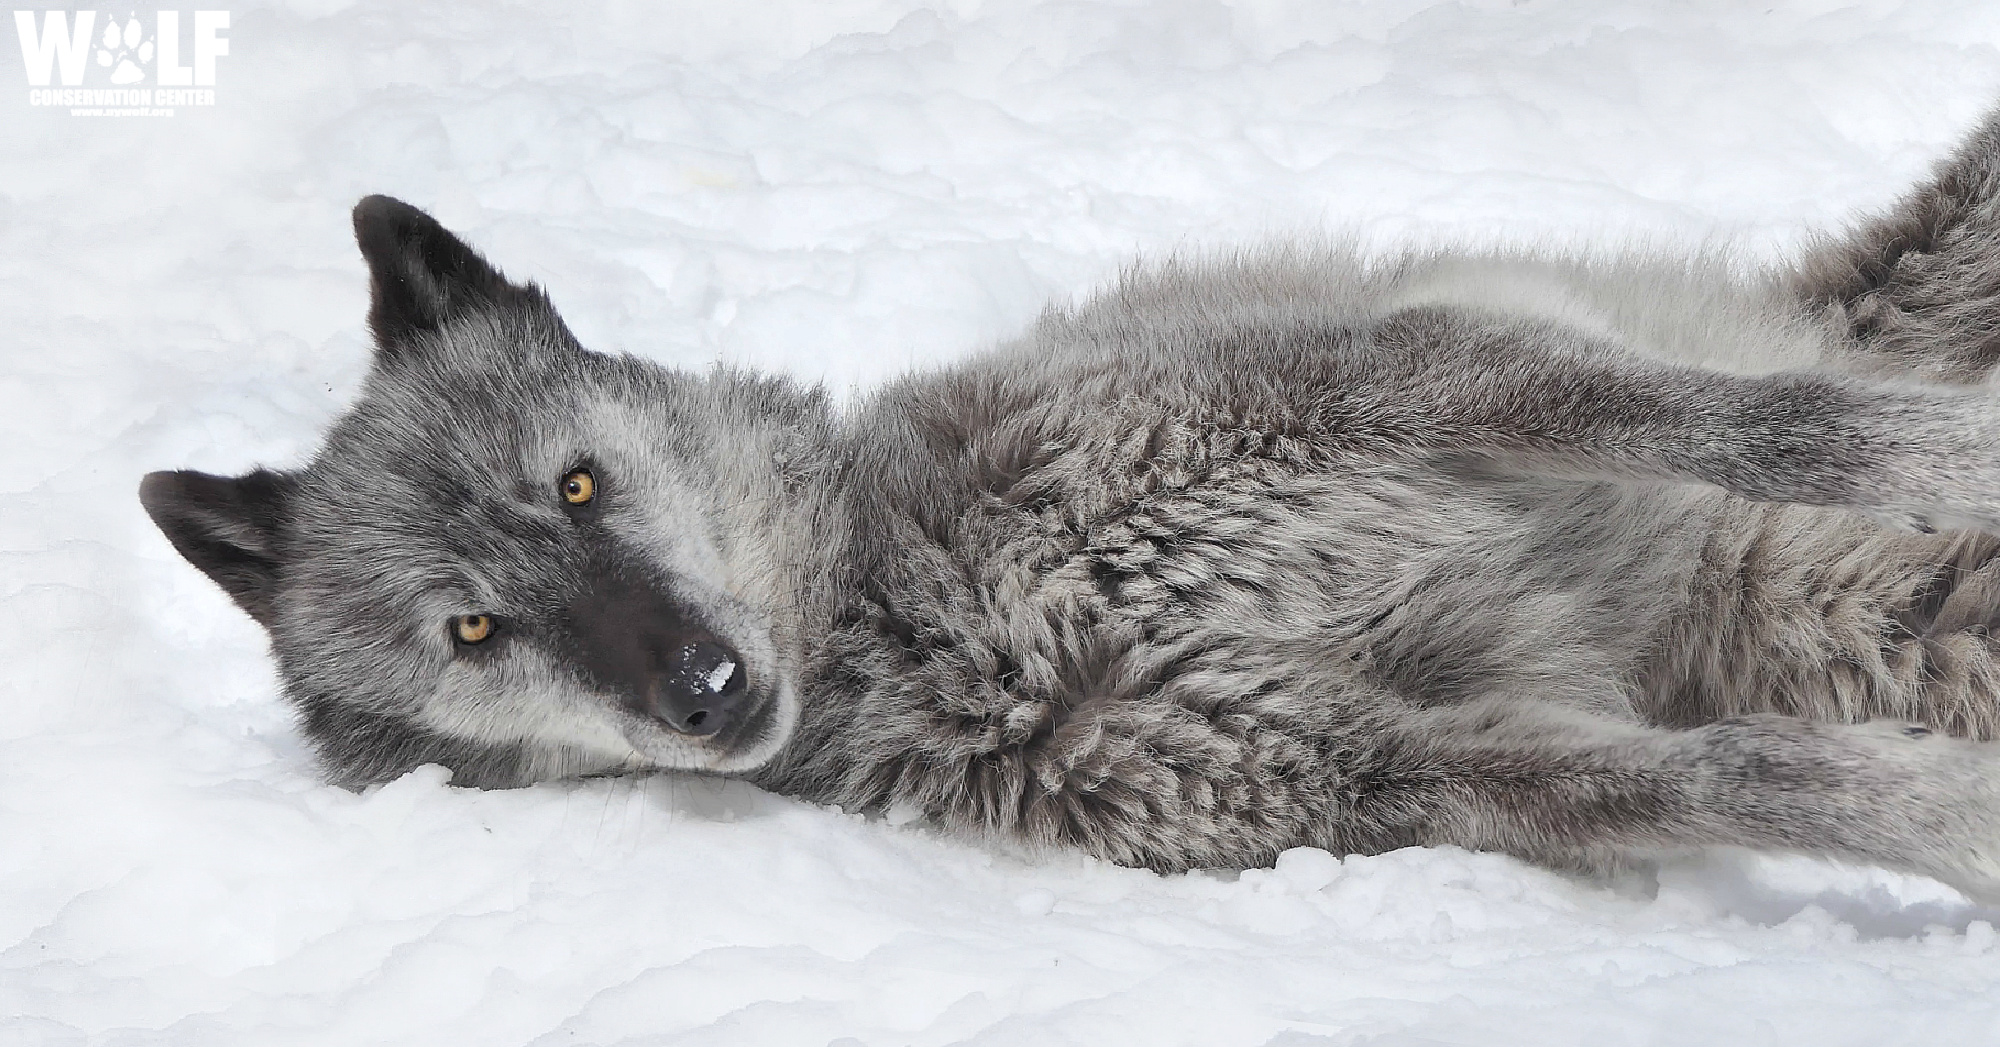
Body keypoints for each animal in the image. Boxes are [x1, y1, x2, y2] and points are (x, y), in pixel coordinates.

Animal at [141, 108, 2000, 899]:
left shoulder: (1398, 375)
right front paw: (1951, 831)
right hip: (1901, 628)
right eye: (475, 628)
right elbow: (1747, 776)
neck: (908, 591)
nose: (702, 688)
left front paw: (1940, 447)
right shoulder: (1400, 768)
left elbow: (1740, 418)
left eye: (577, 482)